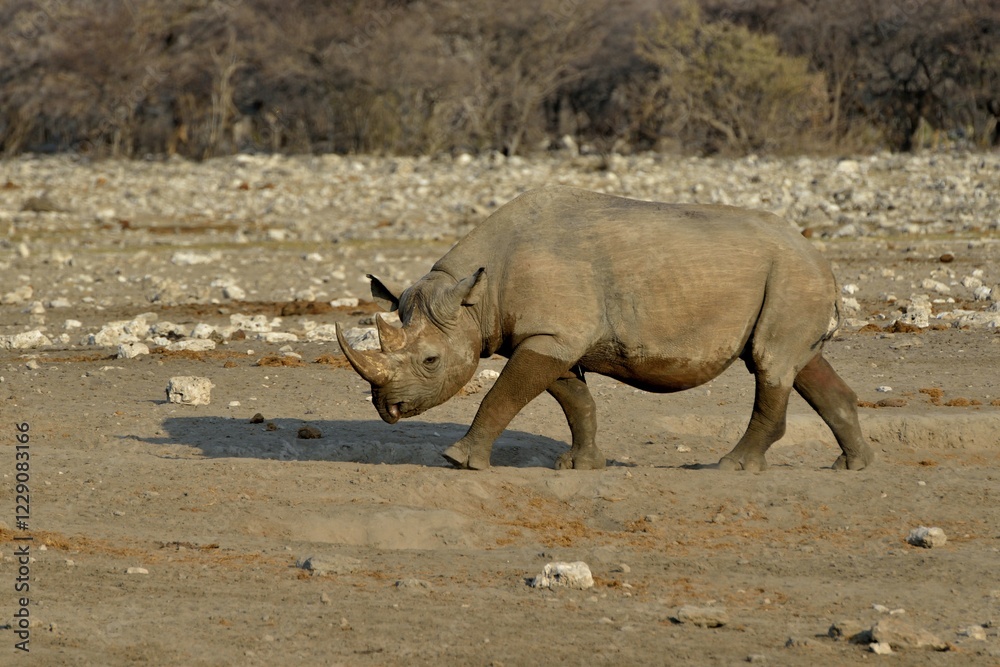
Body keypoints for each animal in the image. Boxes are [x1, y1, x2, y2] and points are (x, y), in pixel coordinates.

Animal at [337, 186, 874, 472]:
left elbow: (502, 394)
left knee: (770, 362)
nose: (387, 409)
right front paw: (582, 466)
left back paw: (731, 467)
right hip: (791, 278)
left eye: (430, 361)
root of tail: (820, 257)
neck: (473, 298)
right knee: (798, 362)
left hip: (791, 274)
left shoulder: (552, 334)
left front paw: (458, 460)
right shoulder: (553, 337)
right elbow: (575, 400)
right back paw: (853, 466)